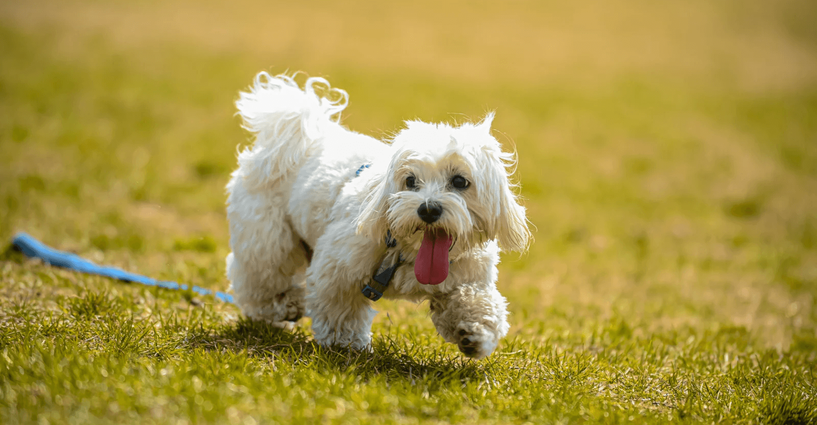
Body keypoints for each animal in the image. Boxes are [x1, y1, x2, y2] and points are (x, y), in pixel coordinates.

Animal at [225, 73, 528, 358]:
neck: (408, 251)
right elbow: (340, 308)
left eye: (460, 181)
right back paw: (285, 304)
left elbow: (475, 301)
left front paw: (474, 332)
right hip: (267, 237)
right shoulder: (337, 268)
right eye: (410, 181)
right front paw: (344, 343)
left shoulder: (468, 277)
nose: (428, 209)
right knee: (259, 277)